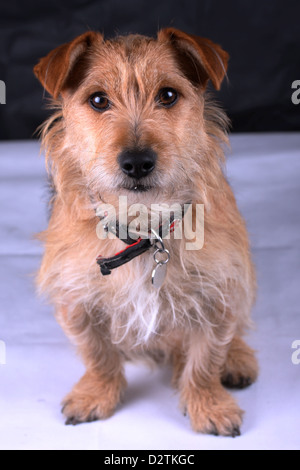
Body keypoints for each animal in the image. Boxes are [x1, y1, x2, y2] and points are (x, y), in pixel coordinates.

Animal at [33, 28, 258, 436]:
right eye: (98, 100)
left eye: (168, 95)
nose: (137, 162)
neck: (144, 230)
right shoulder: (75, 297)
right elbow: (96, 353)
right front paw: (96, 393)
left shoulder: (218, 292)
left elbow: (207, 357)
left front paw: (208, 404)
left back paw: (237, 359)